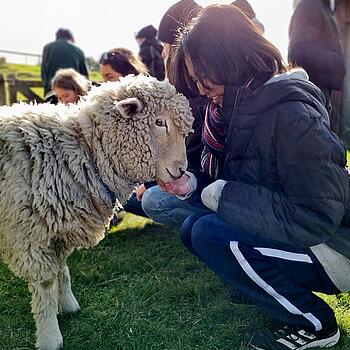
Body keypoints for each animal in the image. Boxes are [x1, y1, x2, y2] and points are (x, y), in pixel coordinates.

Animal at [0, 76, 193, 350]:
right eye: (159, 122)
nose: (181, 171)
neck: (78, 152)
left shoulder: (59, 226)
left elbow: (62, 268)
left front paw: (67, 305)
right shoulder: (29, 234)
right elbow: (46, 281)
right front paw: (50, 336)